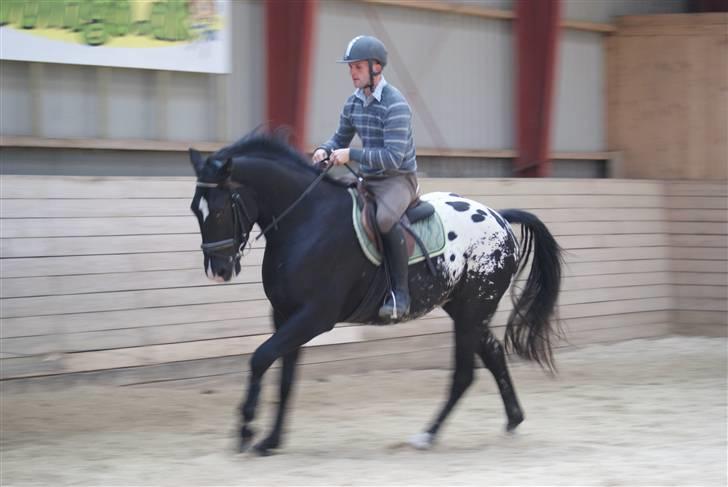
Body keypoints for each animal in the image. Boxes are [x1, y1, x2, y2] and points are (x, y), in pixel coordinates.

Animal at [188, 132, 564, 456]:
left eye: (218, 209)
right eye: (195, 209)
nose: (218, 270)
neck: (307, 222)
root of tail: (499, 217)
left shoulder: (314, 317)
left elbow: (261, 358)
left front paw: (246, 430)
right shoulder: (284, 315)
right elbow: (286, 378)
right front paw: (271, 441)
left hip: (472, 311)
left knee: (464, 374)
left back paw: (427, 435)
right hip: (466, 311)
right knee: (494, 355)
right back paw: (513, 420)